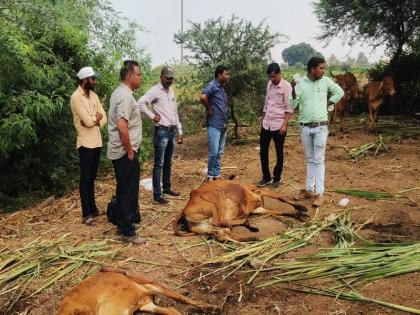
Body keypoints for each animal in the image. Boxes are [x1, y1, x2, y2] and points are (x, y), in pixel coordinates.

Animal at [173, 180, 308, 242]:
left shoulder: (258, 208)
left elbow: (277, 211)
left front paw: (299, 214)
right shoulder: (259, 191)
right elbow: (281, 197)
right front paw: (302, 209)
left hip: (204, 226)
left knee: (225, 232)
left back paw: (252, 235)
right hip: (217, 198)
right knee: (221, 222)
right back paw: (249, 226)